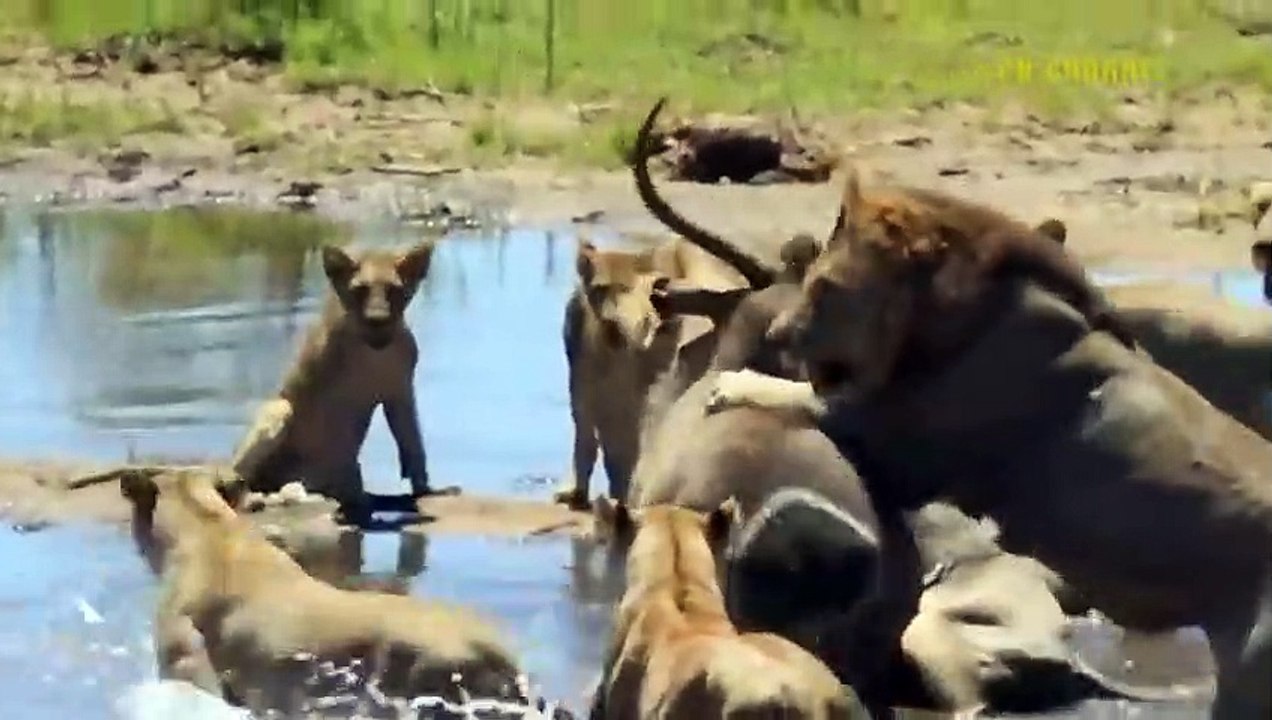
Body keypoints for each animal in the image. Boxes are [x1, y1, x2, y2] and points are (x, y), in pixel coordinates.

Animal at [231, 240, 448, 527]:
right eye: (360, 290)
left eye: (394, 289)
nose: (377, 320)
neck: (375, 354)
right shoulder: (335, 401)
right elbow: (344, 449)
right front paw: (357, 498)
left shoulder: (400, 393)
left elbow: (413, 440)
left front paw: (425, 489)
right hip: (279, 408)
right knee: (240, 480)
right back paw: (259, 498)